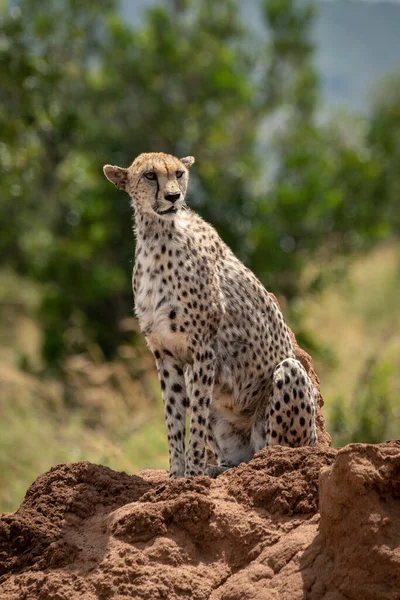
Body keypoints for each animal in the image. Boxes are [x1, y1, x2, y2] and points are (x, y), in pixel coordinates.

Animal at [104, 154, 318, 478]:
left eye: (179, 174)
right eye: (150, 175)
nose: (173, 196)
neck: (157, 236)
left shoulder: (203, 350)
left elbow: (197, 418)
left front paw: (191, 474)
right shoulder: (164, 352)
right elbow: (173, 417)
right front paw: (175, 475)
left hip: (289, 380)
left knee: (274, 449)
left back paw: (261, 463)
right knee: (234, 456)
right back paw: (218, 469)